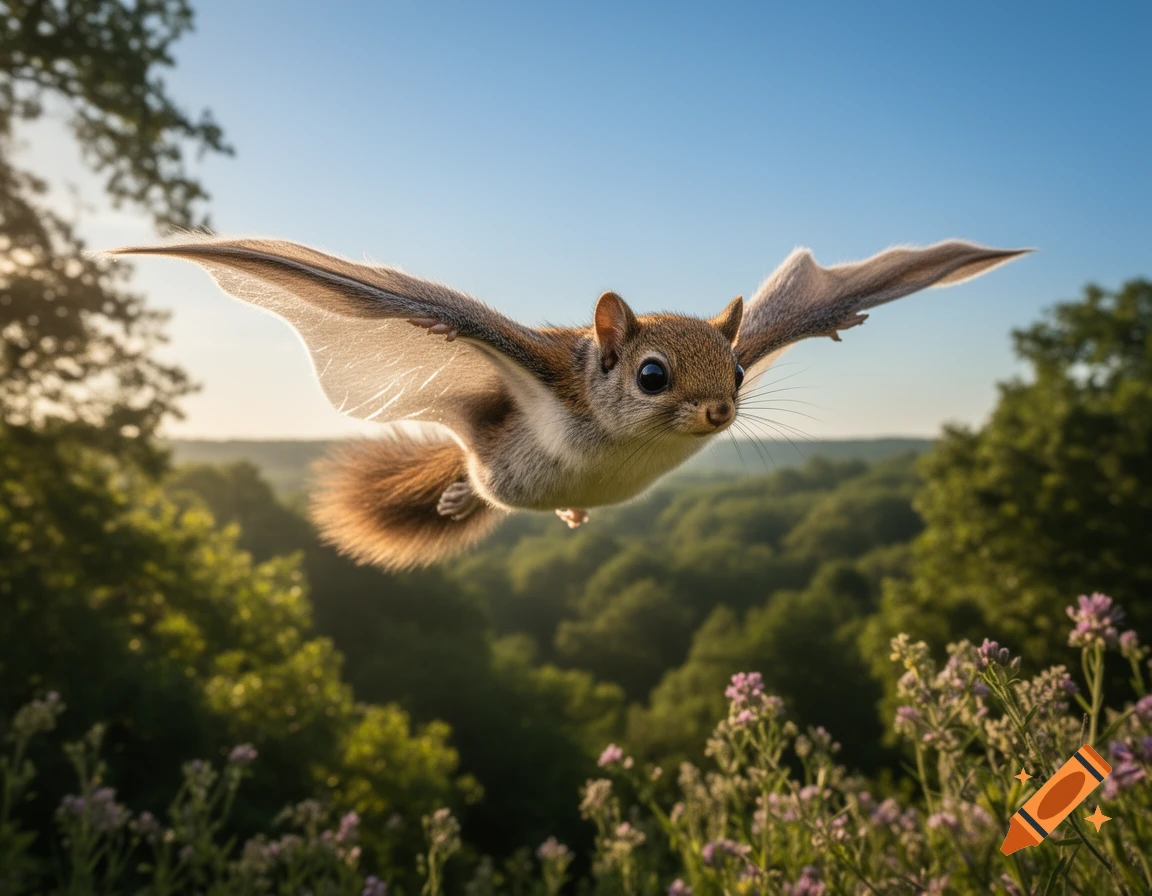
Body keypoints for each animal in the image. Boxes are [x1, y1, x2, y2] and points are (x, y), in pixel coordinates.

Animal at [106, 236, 1028, 570]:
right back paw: (454, 495)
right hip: (487, 461)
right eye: (651, 376)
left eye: (738, 371)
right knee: (471, 481)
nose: (719, 414)